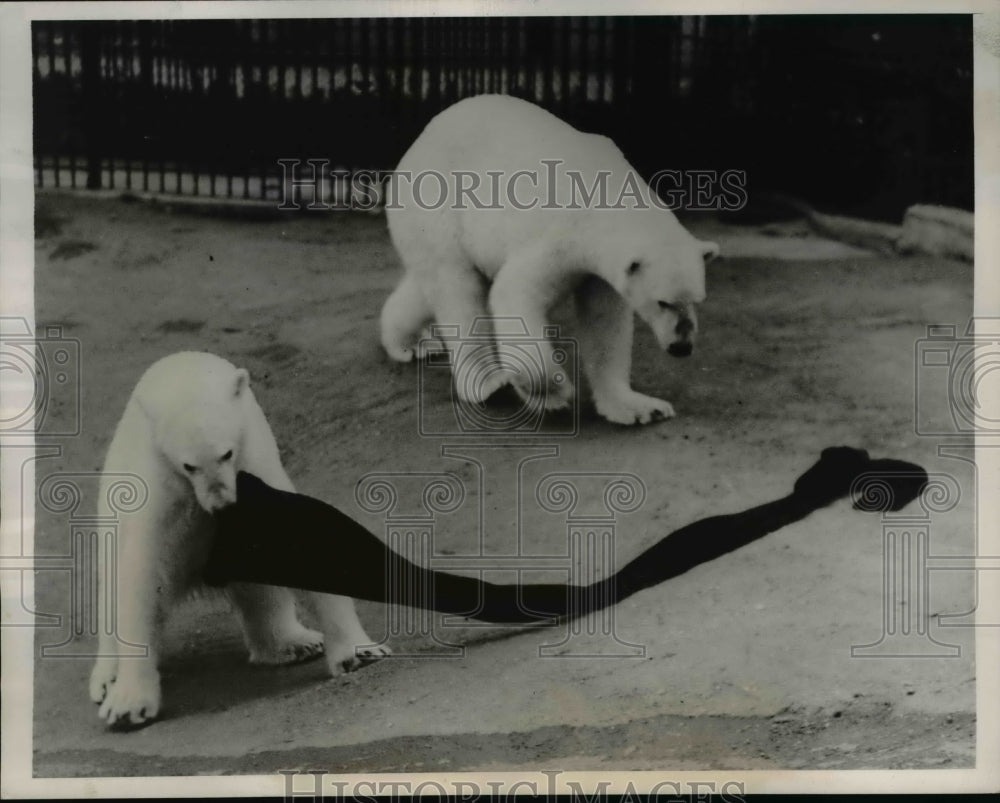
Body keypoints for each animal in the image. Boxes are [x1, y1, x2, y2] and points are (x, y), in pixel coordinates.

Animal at [89, 352, 386, 728]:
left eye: (226, 454)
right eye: (189, 465)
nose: (222, 504)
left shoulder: (256, 474)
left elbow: (301, 543)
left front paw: (359, 653)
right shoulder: (162, 495)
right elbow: (141, 579)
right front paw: (128, 706)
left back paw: (294, 643)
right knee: (109, 588)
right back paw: (106, 677)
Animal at [382, 92, 720, 428]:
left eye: (698, 300)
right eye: (663, 302)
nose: (681, 347)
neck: (607, 194)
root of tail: (418, 143)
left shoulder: (598, 270)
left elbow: (604, 323)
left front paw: (641, 408)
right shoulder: (561, 235)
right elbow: (515, 293)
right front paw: (555, 393)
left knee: (429, 286)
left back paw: (410, 343)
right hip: (437, 207)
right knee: (457, 291)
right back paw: (487, 383)